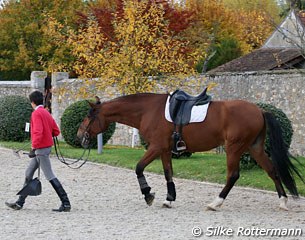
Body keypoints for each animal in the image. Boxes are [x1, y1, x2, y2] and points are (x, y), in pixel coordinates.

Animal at [77, 91, 302, 210]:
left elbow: (139, 167)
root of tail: (259, 110)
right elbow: (168, 173)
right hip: (254, 148)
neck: (148, 110)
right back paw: (283, 201)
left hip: (234, 148)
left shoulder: (155, 147)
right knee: (272, 170)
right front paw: (169, 199)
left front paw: (148, 194)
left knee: (233, 175)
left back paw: (215, 202)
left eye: (88, 116)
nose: (79, 135)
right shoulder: (164, 150)